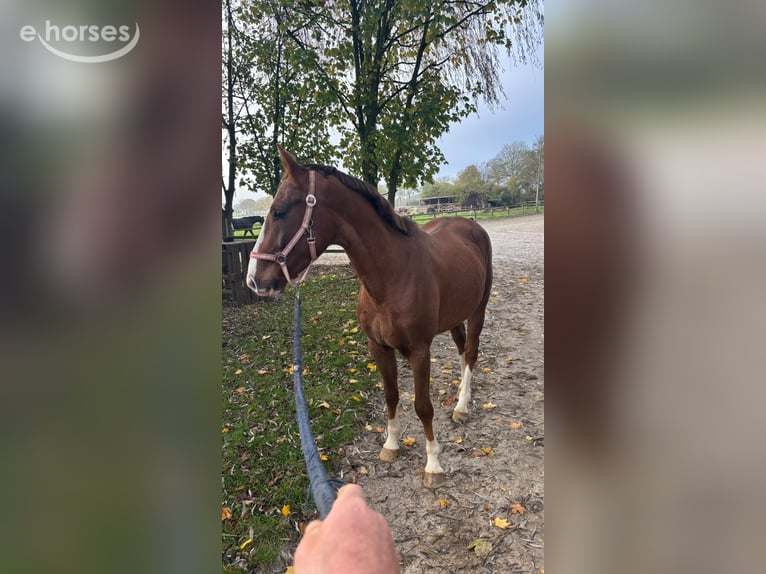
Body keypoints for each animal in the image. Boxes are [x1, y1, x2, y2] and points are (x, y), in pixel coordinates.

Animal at [247, 146, 493, 489]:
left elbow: (423, 406)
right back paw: (460, 399)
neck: (393, 275)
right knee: (461, 349)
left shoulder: (420, 350)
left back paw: (463, 406)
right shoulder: (378, 347)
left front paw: (433, 464)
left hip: (478, 309)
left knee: (471, 351)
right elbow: (391, 396)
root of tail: (470, 225)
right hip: (454, 313)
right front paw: (391, 444)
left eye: (279, 212)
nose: (254, 280)